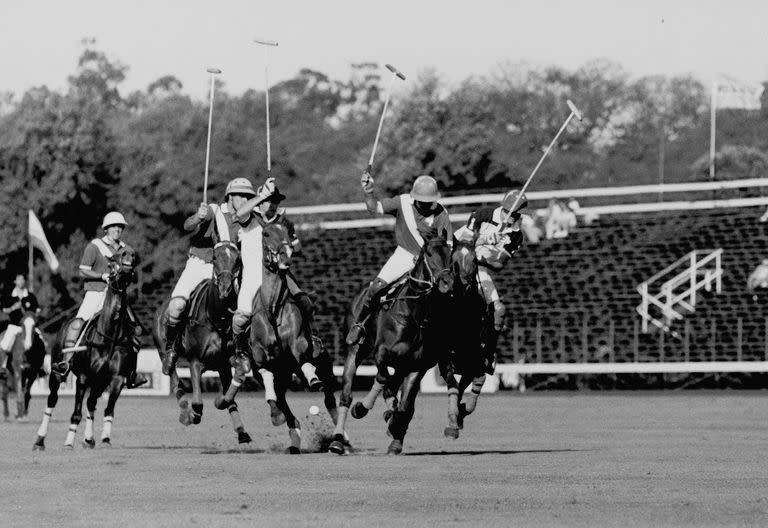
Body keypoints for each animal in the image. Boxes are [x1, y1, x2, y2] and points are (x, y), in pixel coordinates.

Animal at [33, 246, 140, 450]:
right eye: (112, 262)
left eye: (133, 258)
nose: (128, 257)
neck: (109, 335)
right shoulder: (83, 377)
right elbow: (76, 413)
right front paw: (68, 442)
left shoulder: (116, 378)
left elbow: (108, 409)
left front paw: (105, 438)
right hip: (56, 372)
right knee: (52, 400)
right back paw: (39, 440)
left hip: (99, 382)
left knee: (91, 403)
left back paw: (89, 439)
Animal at [154, 241, 252, 444]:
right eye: (214, 257)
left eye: (238, 259)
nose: (225, 288)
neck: (218, 317)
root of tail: (160, 309)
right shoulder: (195, 361)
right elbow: (198, 402)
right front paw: (193, 415)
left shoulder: (226, 361)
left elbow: (240, 373)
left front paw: (221, 401)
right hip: (163, 350)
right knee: (173, 375)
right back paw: (185, 412)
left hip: (221, 366)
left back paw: (241, 431)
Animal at [216, 222, 336, 454]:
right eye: (266, 233)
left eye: (289, 232)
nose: (285, 257)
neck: (272, 308)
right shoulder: (260, 354)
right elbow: (266, 377)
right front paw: (274, 415)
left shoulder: (299, 344)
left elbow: (304, 358)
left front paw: (313, 379)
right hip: (281, 372)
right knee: (282, 402)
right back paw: (293, 439)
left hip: (319, 364)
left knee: (330, 396)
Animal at [328, 235, 452, 454]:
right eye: (429, 254)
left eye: (450, 253)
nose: (447, 282)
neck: (413, 314)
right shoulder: (382, 353)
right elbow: (384, 380)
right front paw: (379, 413)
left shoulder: (417, 366)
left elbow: (404, 404)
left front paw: (395, 428)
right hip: (355, 350)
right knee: (347, 394)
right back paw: (338, 439)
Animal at [438, 239, 492, 438]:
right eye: (453, 262)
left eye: (475, 260)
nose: (465, 284)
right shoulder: (444, 357)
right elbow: (453, 385)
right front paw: (452, 423)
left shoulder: (475, 358)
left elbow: (478, 380)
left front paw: (462, 412)